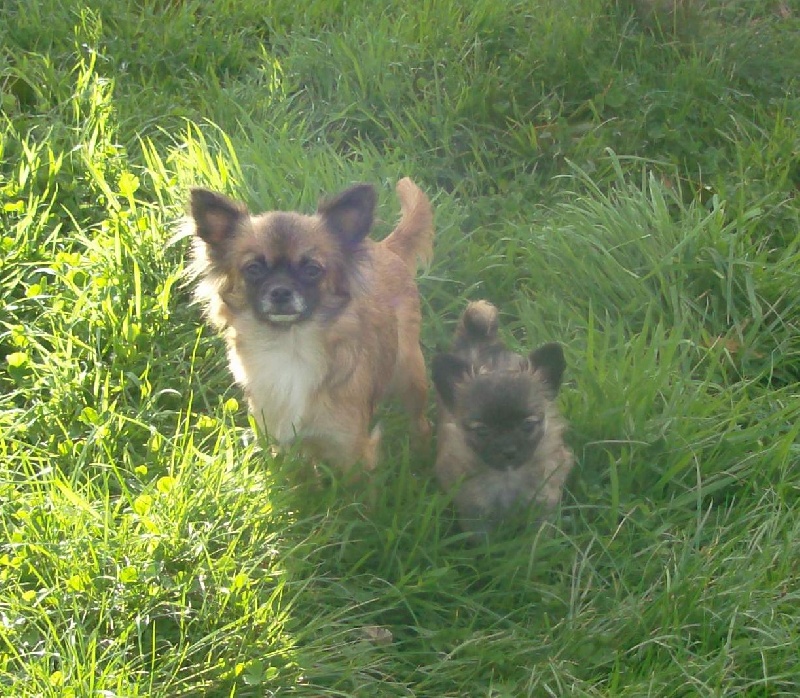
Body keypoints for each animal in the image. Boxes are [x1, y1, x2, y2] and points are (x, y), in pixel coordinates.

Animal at [188, 177, 434, 476]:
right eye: (254, 268)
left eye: (312, 270)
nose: (281, 291)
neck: (290, 346)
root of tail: (386, 248)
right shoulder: (280, 440)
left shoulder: (352, 451)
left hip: (410, 373)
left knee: (419, 419)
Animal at [432, 300, 576, 540]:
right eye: (482, 430)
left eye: (527, 425)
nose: (508, 450)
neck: (508, 477)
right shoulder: (475, 514)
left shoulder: (543, 503)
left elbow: (539, 536)